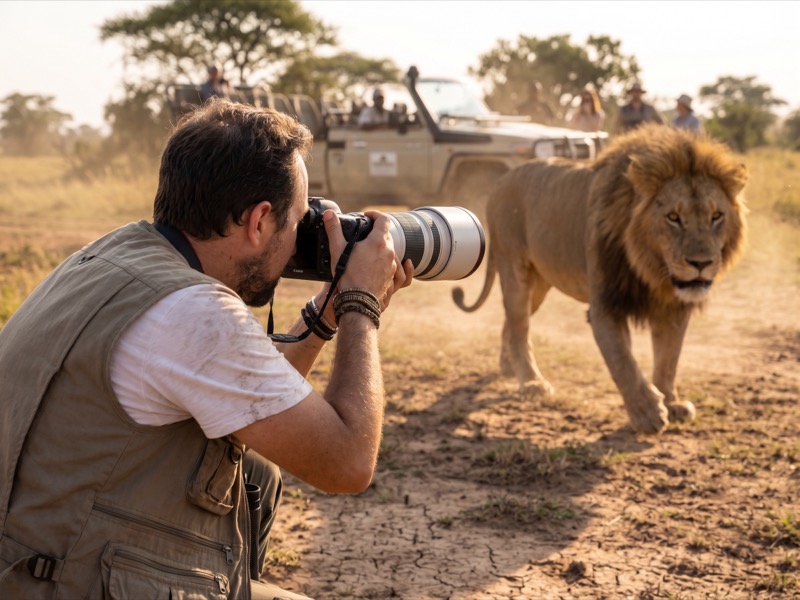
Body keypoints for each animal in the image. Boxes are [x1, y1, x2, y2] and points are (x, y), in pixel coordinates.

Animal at [452, 124, 748, 434]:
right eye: (673, 217)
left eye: (716, 216)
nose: (701, 264)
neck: (653, 272)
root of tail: (500, 181)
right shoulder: (606, 305)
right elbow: (623, 361)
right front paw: (647, 413)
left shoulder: (673, 308)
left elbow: (669, 359)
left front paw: (672, 401)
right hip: (514, 267)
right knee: (520, 324)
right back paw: (532, 381)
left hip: (540, 284)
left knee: (511, 320)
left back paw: (508, 365)